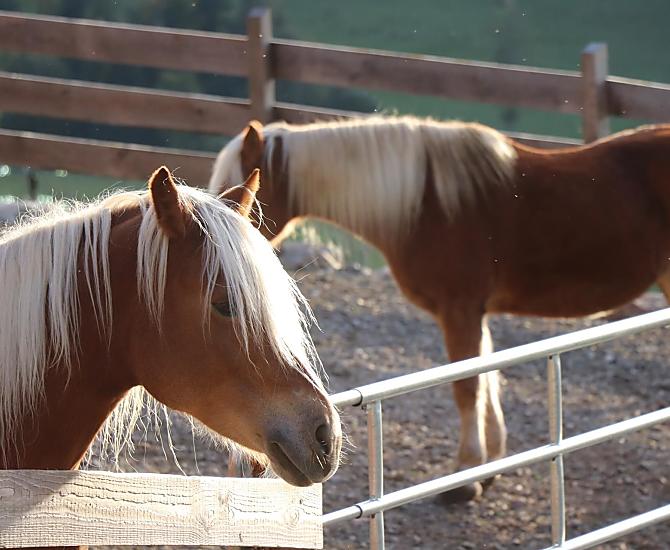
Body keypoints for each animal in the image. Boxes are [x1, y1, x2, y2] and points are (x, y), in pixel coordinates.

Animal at [209, 115, 670, 501]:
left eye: (241, 195)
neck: (424, 204)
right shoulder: (474, 313)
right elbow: (487, 378)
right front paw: (488, 466)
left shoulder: (460, 310)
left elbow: (467, 386)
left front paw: (465, 478)